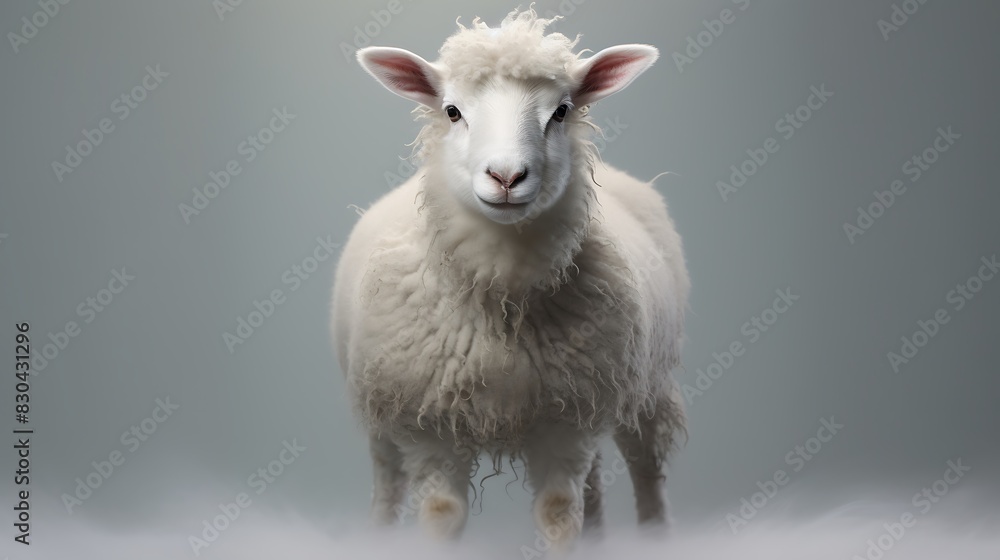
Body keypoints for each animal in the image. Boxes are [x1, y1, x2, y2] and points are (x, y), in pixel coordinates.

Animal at [331, 8, 689, 549]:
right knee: (387, 481)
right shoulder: (430, 423)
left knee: (645, 467)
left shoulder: (565, 421)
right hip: (381, 404)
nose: (506, 176)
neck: (502, 296)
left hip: (646, 383)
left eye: (561, 111)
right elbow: (441, 513)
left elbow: (559, 514)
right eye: (452, 111)